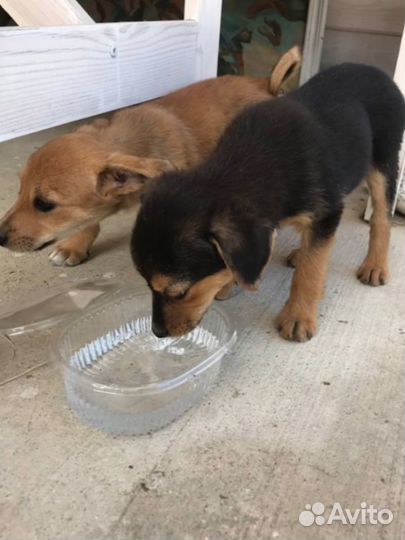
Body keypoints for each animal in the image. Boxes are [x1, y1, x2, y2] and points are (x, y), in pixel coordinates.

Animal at [132, 63, 404, 342]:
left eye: (179, 293)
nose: (157, 332)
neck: (247, 165)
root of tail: (374, 70)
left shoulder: (327, 212)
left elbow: (311, 271)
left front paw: (298, 316)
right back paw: (300, 253)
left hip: (384, 160)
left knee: (381, 217)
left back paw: (375, 265)